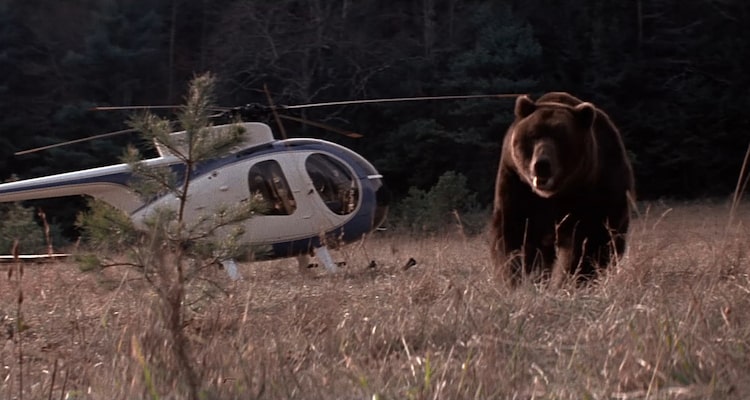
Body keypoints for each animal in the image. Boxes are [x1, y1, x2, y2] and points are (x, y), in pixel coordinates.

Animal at [491, 92, 635, 286]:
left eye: (560, 138)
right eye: (533, 135)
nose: (542, 165)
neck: (554, 193)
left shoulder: (592, 192)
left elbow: (586, 243)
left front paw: (569, 281)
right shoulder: (517, 183)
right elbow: (514, 233)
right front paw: (517, 278)